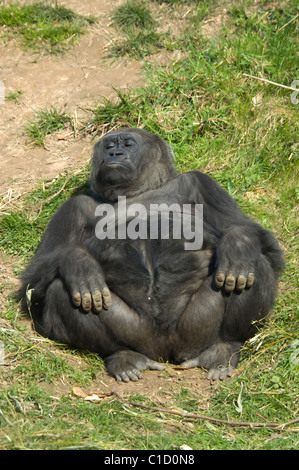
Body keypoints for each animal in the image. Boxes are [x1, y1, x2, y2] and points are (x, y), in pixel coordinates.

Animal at [19, 127, 286, 382]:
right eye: (108, 145)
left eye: (128, 144)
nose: (114, 154)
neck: (135, 193)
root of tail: (164, 352)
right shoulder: (74, 207)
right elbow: (34, 282)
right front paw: (79, 264)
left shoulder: (199, 182)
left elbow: (256, 239)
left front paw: (237, 244)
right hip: (140, 337)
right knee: (61, 289)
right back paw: (122, 356)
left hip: (194, 335)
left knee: (253, 267)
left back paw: (223, 347)